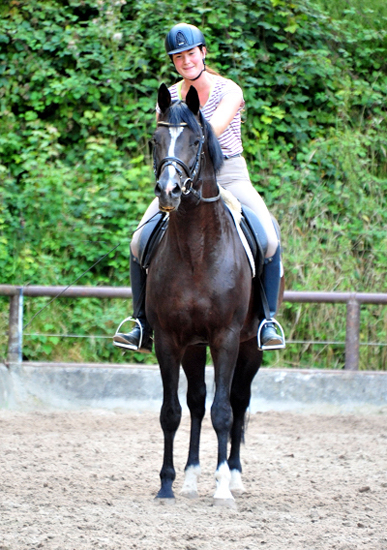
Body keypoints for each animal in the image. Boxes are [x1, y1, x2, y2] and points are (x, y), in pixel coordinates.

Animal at [149, 83, 278, 508]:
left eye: (195, 140)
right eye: (156, 140)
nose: (169, 190)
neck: (196, 249)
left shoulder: (226, 338)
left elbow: (223, 411)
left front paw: (221, 488)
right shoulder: (170, 340)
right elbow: (172, 412)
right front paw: (167, 484)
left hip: (250, 345)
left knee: (237, 400)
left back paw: (233, 476)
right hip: (193, 346)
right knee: (196, 402)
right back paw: (191, 478)